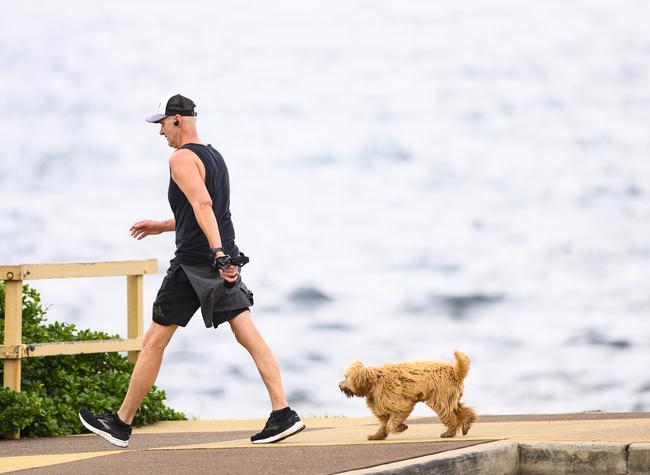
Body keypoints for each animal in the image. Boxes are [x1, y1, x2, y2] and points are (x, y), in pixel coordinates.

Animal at [336, 352, 474, 440]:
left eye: (346, 377)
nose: (339, 385)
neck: (376, 380)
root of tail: (454, 371)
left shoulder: (400, 403)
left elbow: (392, 422)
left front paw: (400, 427)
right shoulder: (382, 405)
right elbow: (384, 423)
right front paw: (377, 436)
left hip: (440, 398)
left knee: (450, 415)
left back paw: (449, 433)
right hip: (450, 396)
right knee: (463, 411)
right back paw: (465, 426)